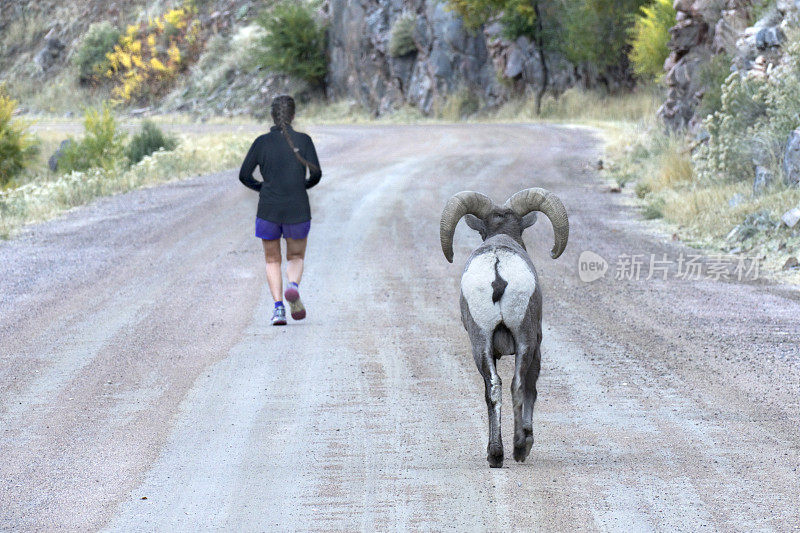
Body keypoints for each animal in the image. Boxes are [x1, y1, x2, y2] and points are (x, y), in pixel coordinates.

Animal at [440, 188, 564, 466]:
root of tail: (497, 269)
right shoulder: (536, 343)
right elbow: (531, 389)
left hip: (481, 342)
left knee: (494, 388)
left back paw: (495, 454)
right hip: (525, 340)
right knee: (518, 386)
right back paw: (518, 449)